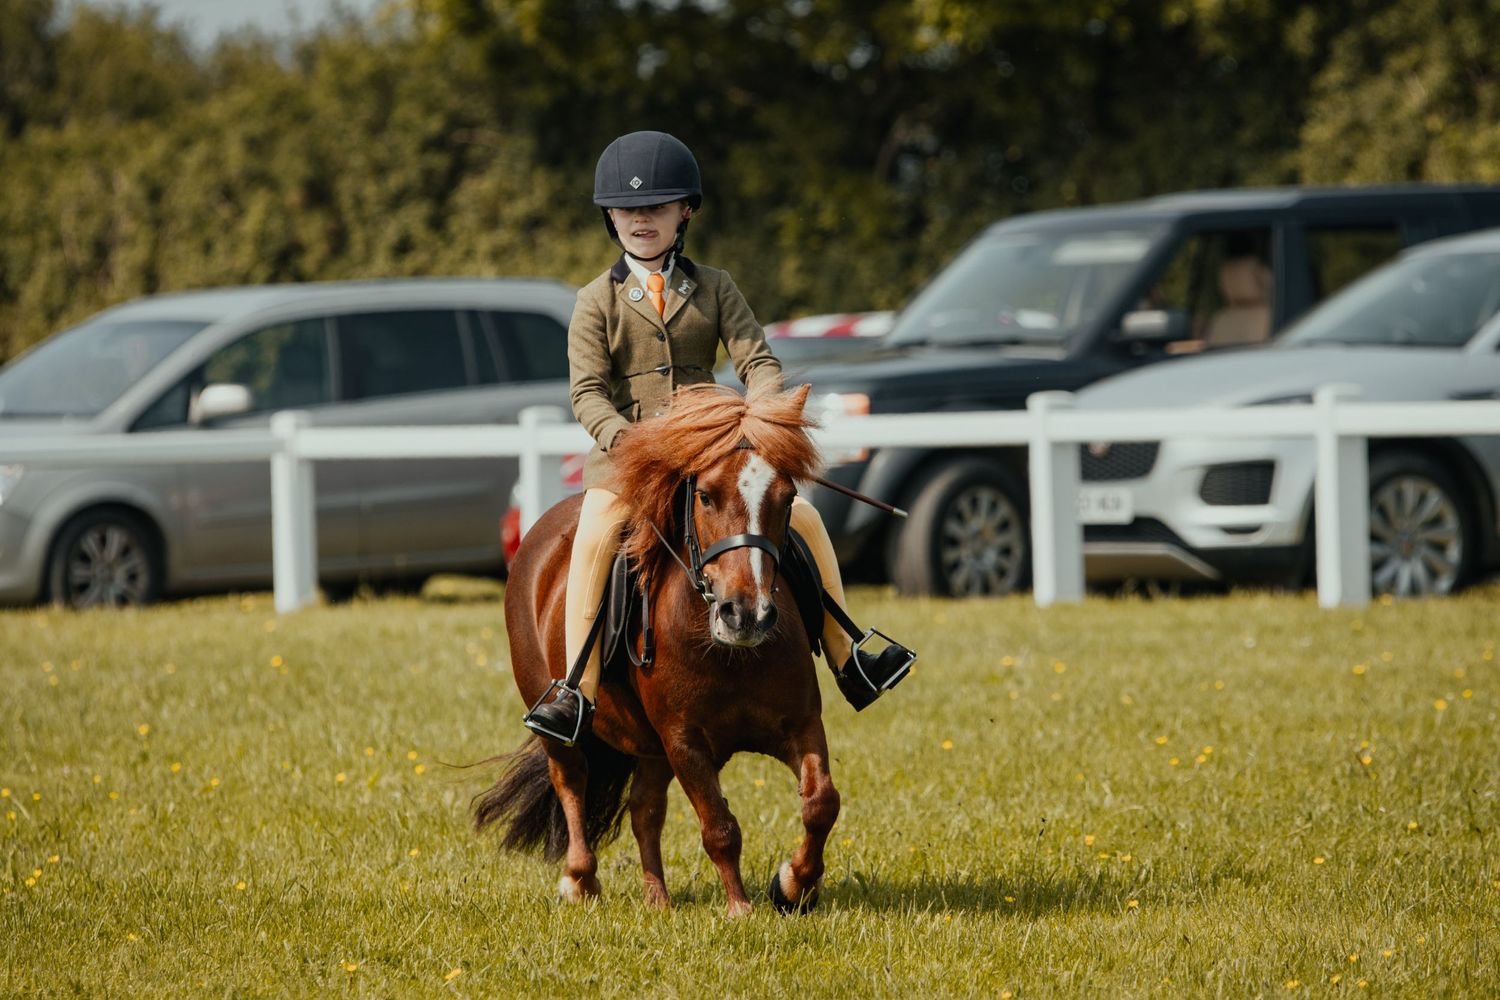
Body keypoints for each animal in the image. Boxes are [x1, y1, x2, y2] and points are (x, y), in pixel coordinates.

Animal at [473, 383, 838, 916]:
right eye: (705, 496)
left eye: (788, 497)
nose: (746, 615)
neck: (727, 651)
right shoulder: (683, 740)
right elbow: (719, 828)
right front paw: (740, 909)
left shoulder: (800, 723)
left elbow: (821, 804)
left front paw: (794, 884)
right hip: (561, 721)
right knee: (571, 781)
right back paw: (579, 881)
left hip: (651, 749)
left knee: (644, 807)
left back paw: (657, 899)